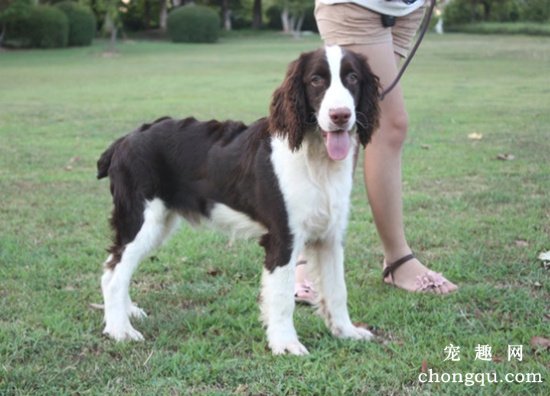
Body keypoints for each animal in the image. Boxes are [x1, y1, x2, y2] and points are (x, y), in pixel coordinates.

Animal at [98, 44, 380, 354]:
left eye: (352, 77)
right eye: (316, 80)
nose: (340, 115)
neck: (314, 159)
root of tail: (123, 141)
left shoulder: (330, 236)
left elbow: (337, 290)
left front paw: (347, 332)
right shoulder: (283, 237)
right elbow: (282, 297)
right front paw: (286, 344)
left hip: (159, 223)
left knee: (114, 267)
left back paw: (128, 313)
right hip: (141, 219)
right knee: (113, 274)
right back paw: (120, 330)